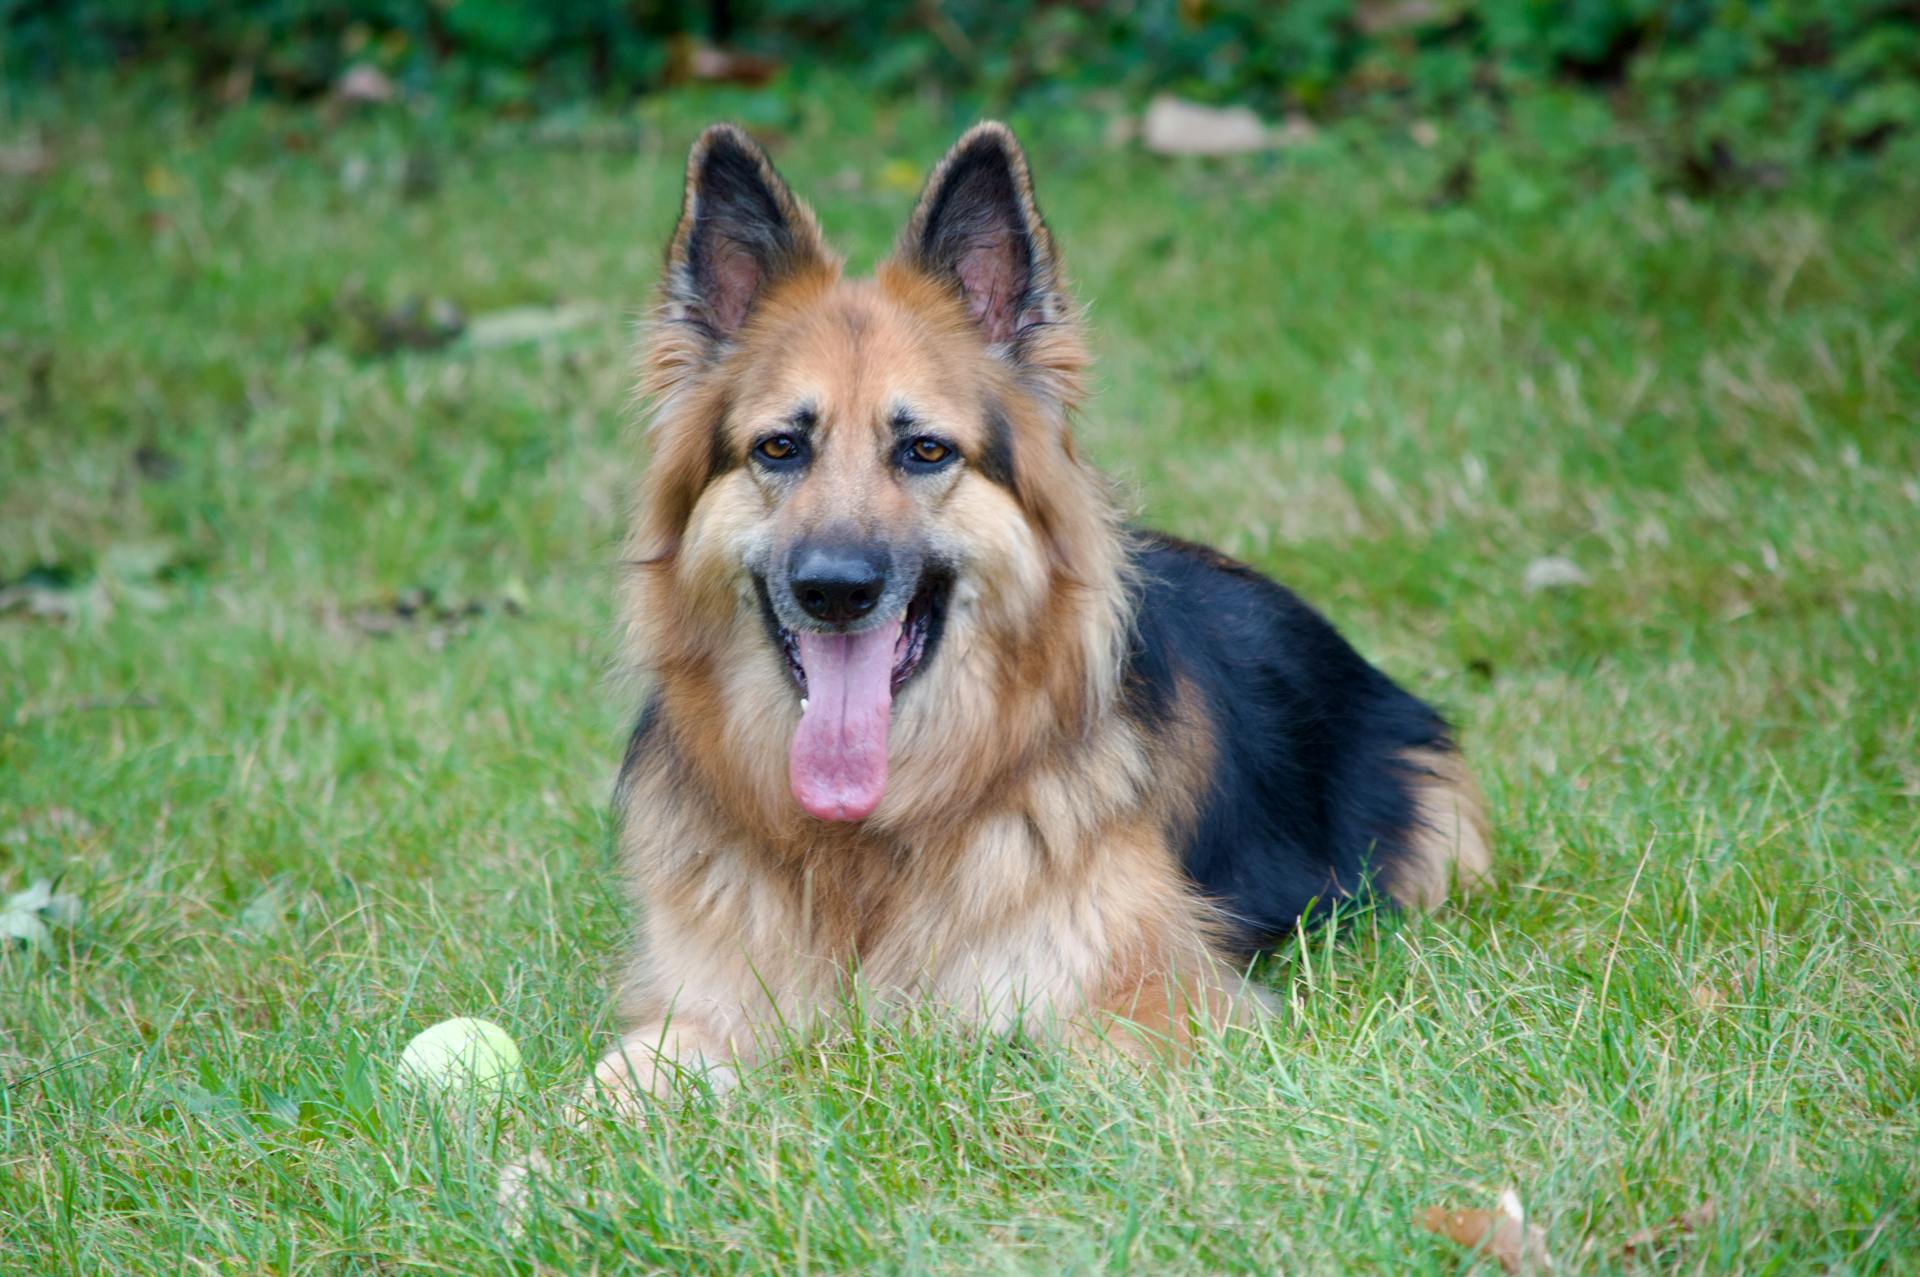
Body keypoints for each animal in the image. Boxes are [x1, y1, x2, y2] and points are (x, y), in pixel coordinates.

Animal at [591, 121, 1489, 1106]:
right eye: (780, 448)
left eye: (925, 450)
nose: (836, 588)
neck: (869, 849)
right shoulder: (699, 1008)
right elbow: (605, 1086)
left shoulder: (1158, 1009)